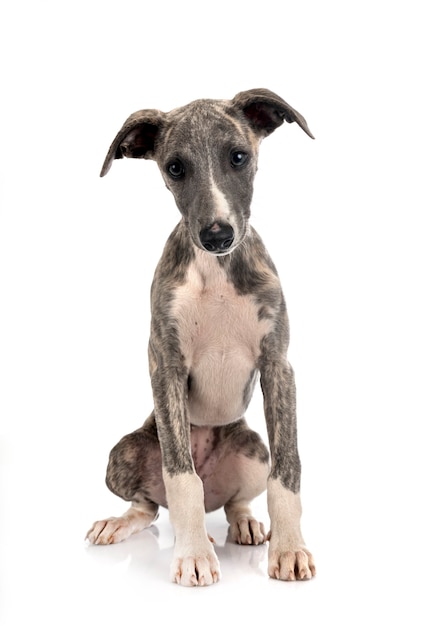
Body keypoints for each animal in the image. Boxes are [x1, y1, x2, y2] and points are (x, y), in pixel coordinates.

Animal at [86, 88, 316, 584]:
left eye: (239, 156)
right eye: (175, 167)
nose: (217, 235)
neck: (216, 272)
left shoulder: (278, 365)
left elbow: (287, 472)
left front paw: (290, 549)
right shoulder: (166, 366)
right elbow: (181, 477)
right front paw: (192, 554)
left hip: (252, 448)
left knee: (234, 501)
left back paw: (246, 523)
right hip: (125, 451)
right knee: (151, 505)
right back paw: (125, 524)